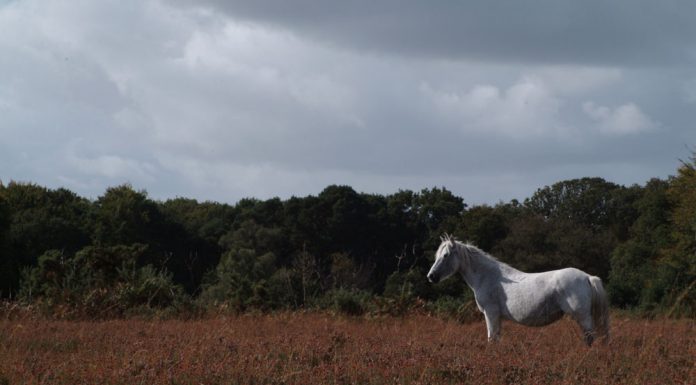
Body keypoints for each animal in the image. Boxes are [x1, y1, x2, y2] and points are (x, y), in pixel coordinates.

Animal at [426, 234, 612, 344]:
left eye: (446, 255)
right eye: (437, 255)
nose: (431, 276)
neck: (489, 276)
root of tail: (587, 277)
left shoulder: (490, 313)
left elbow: (492, 339)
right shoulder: (497, 317)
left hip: (582, 316)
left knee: (590, 338)